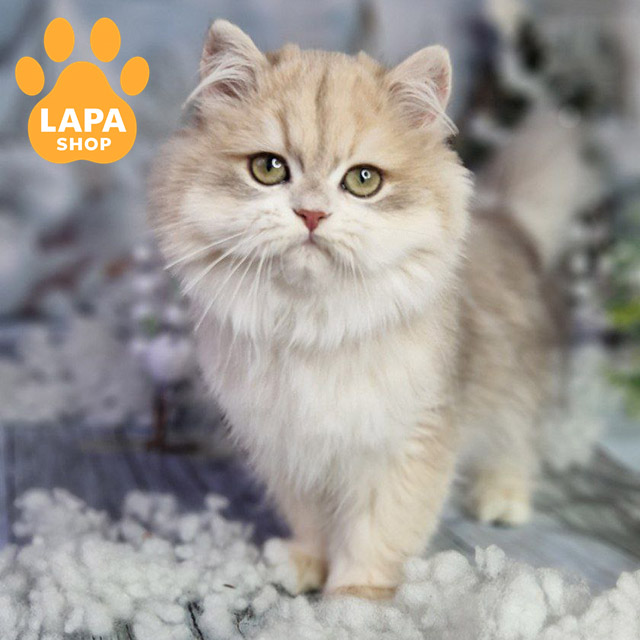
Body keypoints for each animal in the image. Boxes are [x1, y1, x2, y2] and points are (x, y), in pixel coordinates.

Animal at [149, 20, 568, 599]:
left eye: (363, 180)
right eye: (268, 168)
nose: (311, 214)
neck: (310, 325)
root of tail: (507, 219)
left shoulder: (404, 447)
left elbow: (376, 534)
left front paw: (353, 600)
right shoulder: (288, 447)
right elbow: (311, 520)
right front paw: (304, 566)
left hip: (514, 391)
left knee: (516, 447)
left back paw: (501, 499)